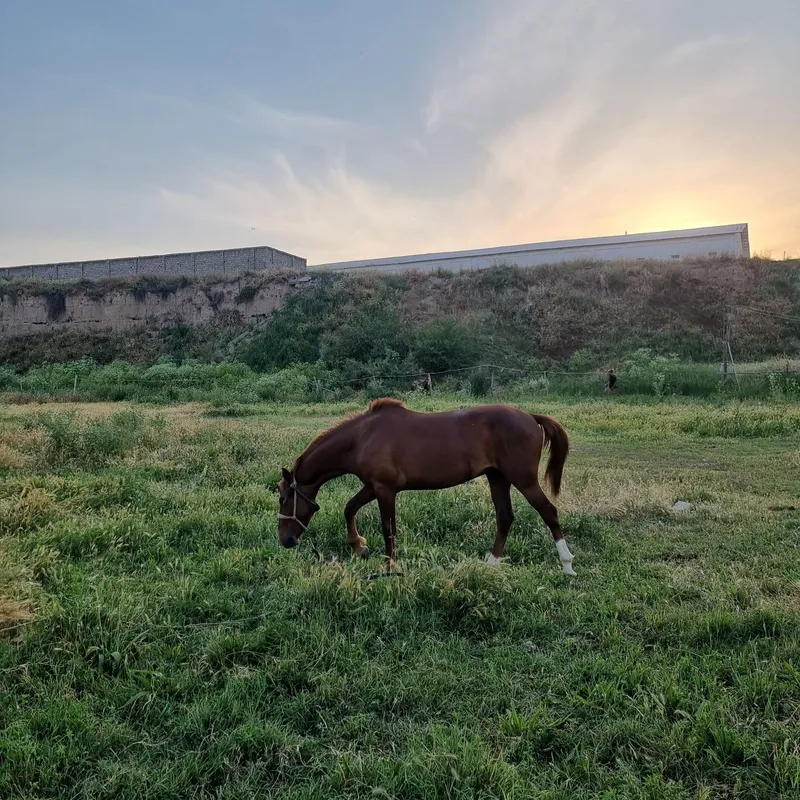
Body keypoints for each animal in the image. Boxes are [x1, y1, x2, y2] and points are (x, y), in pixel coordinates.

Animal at [277, 398, 576, 576]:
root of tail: (531, 417)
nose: (285, 540)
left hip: (523, 479)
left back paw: (567, 564)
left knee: (549, 512)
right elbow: (350, 508)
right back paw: (490, 565)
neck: (362, 438)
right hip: (497, 478)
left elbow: (388, 529)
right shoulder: (372, 486)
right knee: (505, 517)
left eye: (282, 499)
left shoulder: (384, 489)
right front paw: (360, 547)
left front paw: (390, 567)